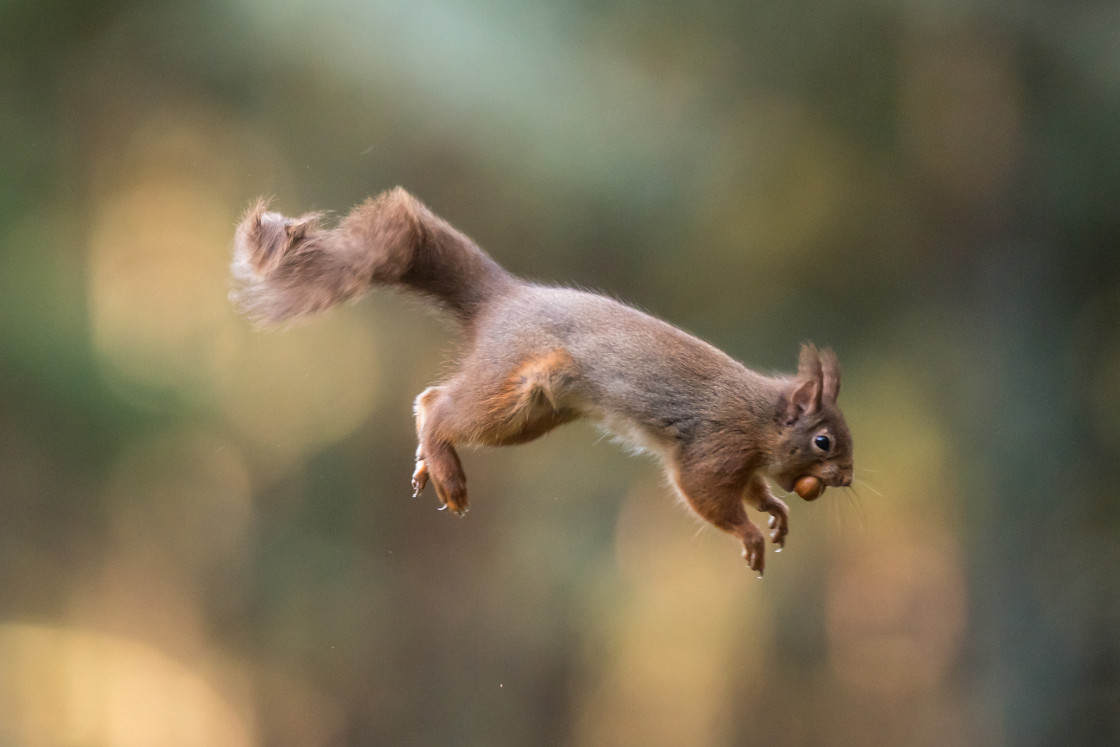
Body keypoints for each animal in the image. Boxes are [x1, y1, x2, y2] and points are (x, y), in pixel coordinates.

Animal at [231, 187, 851, 573]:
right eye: (823, 441)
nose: (844, 479)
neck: (759, 416)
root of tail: (505, 300)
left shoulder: (743, 463)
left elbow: (751, 489)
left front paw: (774, 510)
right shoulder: (714, 447)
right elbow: (704, 493)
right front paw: (750, 535)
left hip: (534, 415)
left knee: (435, 397)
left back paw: (429, 464)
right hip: (516, 388)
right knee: (439, 407)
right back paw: (444, 464)